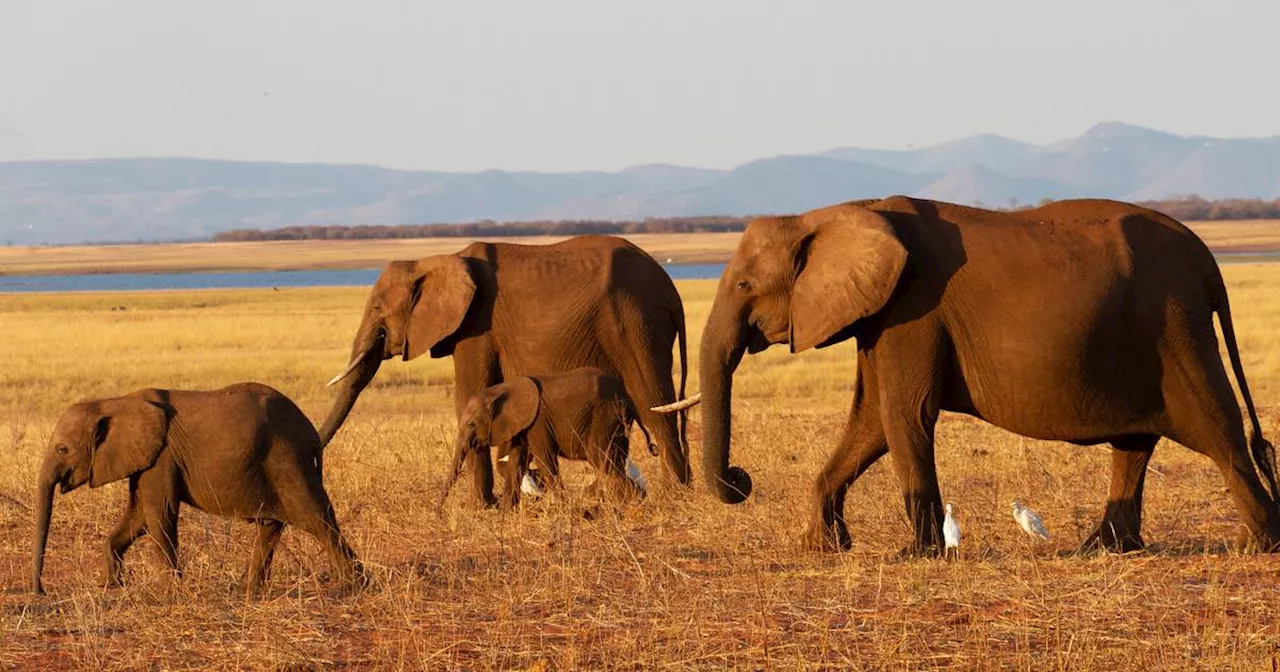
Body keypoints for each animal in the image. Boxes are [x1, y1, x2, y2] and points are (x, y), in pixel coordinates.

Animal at [28, 378, 366, 593]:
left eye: (63, 449)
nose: (41, 591)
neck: (114, 402)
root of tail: (310, 432)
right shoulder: (147, 460)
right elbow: (138, 517)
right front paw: (112, 585)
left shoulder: (162, 456)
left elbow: (159, 514)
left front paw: (173, 588)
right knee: (272, 525)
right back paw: (247, 589)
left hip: (287, 459)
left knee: (316, 518)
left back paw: (353, 586)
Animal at [442, 366, 660, 509]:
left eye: (471, 424)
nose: (439, 512)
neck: (502, 389)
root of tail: (627, 396)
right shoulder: (523, 424)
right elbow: (516, 461)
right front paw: (506, 513)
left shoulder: (538, 422)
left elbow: (545, 460)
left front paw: (566, 509)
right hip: (617, 421)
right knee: (615, 459)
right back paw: (630, 501)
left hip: (605, 416)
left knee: (601, 458)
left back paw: (631, 502)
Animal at [675, 197, 1274, 552]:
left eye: (745, 285)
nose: (741, 478)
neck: (830, 214)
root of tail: (1209, 261)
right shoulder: (881, 316)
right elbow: (870, 422)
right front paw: (823, 547)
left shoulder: (912, 309)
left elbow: (903, 415)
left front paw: (914, 555)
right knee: (1135, 444)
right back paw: (1102, 549)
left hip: (1177, 330)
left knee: (1218, 431)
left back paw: (1263, 543)